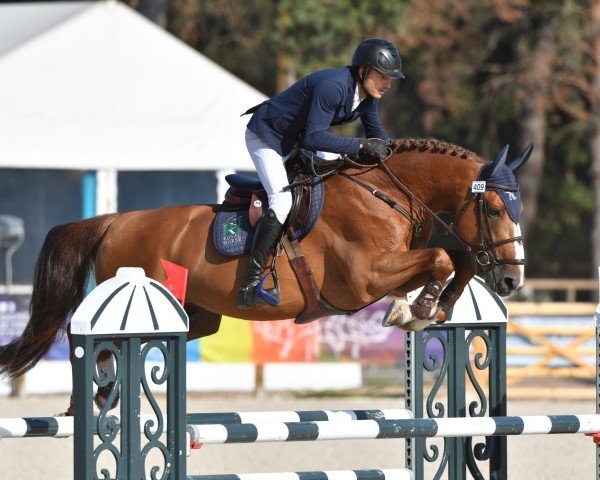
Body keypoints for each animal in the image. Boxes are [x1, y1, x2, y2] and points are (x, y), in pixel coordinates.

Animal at [0, 137, 528, 414]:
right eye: (495, 209)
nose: (511, 282)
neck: (387, 193)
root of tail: (114, 221)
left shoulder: (394, 266)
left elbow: (456, 261)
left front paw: (432, 307)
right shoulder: (364, 278)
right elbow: (441, 258)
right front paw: (414, 309)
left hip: (194, 315)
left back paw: (99, 395)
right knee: (84, 338)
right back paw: (83, 402)